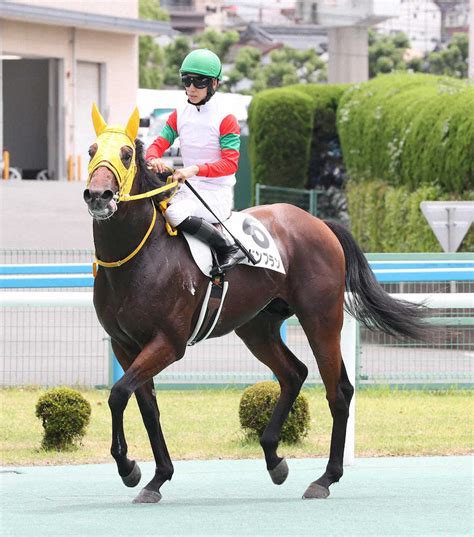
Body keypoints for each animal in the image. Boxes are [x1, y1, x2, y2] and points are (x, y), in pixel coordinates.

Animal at [85, 104, 434, 502]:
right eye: (91, 150)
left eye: (126, 154)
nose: (97, 195)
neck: (139, 257)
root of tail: (320, 223)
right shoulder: (125, 344)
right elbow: (144, 406)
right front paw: (154, 477)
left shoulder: (169, 343)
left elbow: (118, 394)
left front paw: (129, 468)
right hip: (256, 326)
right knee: (293, 374)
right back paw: (274, 459)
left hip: (321, 318)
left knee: (339, 390)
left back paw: (325, 477)